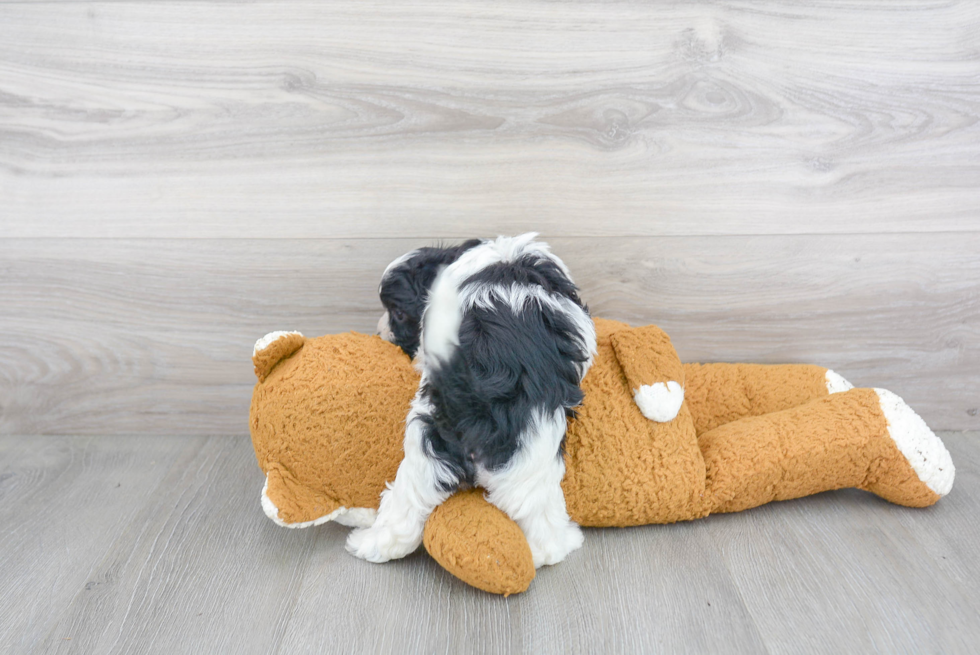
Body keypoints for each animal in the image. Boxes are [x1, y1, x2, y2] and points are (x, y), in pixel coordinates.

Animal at [348, 233, 600, 568]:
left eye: (399, 314)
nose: (380, 333)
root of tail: (474, 399)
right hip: (531, 453)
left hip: (430, 447)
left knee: (408, 503)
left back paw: (371, 544)